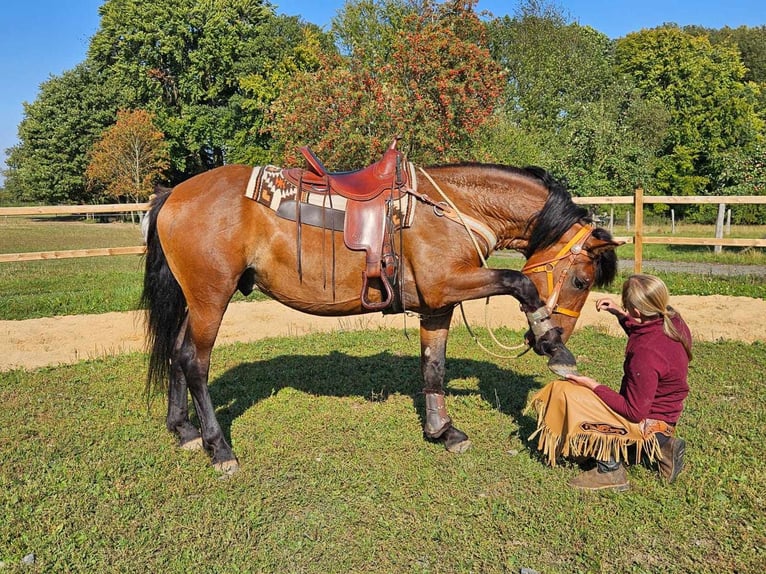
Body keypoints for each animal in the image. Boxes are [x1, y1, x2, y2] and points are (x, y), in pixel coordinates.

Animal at [142, 145, 624, 476]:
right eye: (581, 281)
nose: (560, 334)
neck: (452, 209)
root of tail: (173, 193)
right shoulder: (449, 283)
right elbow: (520, 283)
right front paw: (553, 347)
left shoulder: (437, 304)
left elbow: (434, 367)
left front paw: (443, 431)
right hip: (211, 298)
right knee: (195, 363)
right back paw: (218, 447)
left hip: (195, 301)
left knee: (177, 354)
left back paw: (183, 430)